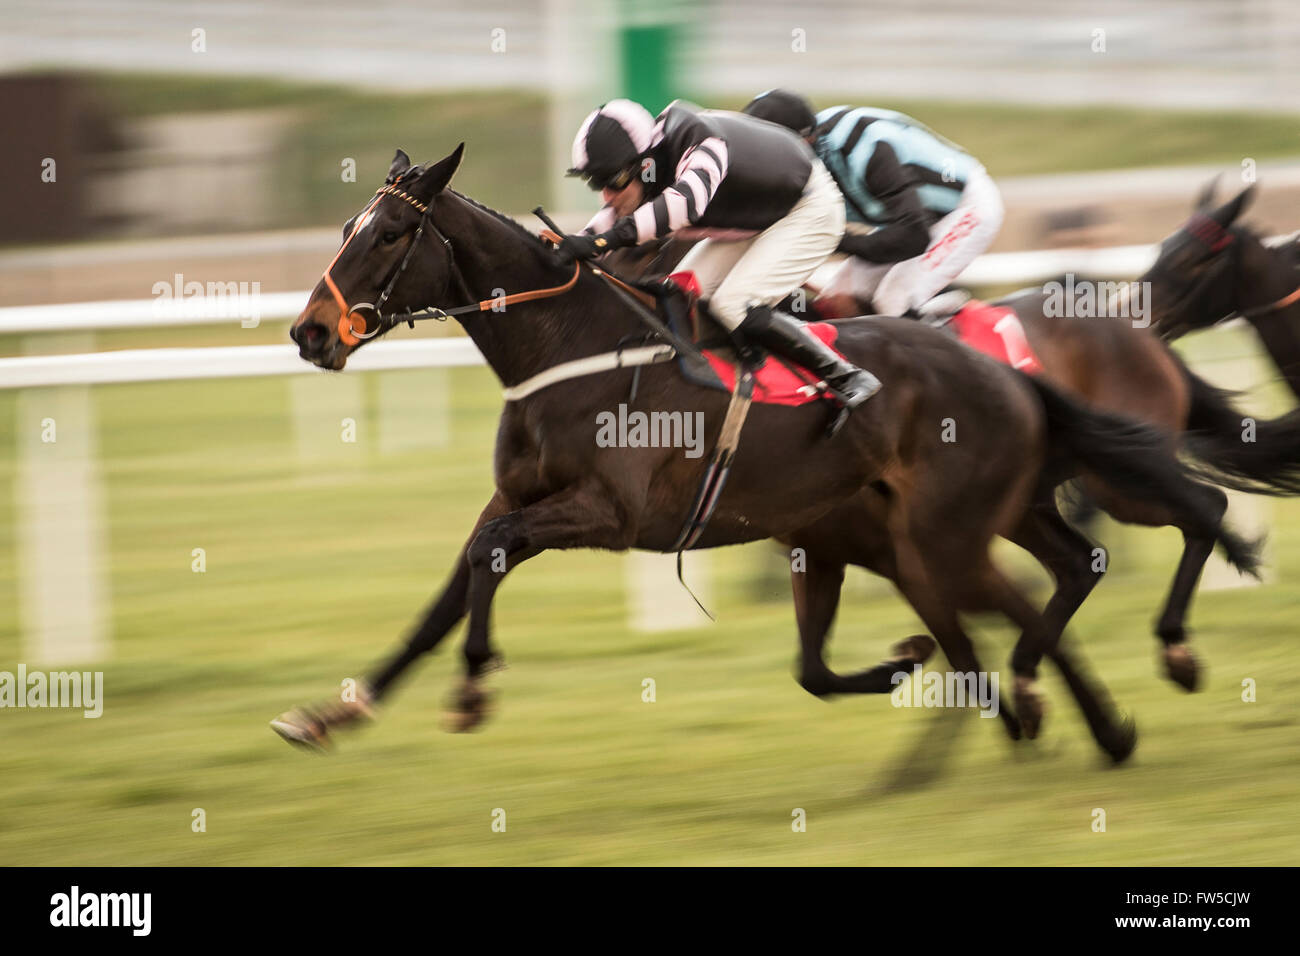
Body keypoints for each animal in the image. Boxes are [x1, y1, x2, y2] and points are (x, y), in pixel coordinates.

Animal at [271, 145, 1248, 764]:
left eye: (389, 235)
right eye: (348, 226)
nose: (309, 332)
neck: (568, 343)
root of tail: (1007, 371)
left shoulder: (612, 515)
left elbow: (492, 554)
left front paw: (474, 685)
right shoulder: (514, 498)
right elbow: (454, 583)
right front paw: (332, 712)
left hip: (963, 529)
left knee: (1159, 529)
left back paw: (1117, 684)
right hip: (962, 524)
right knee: (1061, 575)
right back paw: (1071, 715)